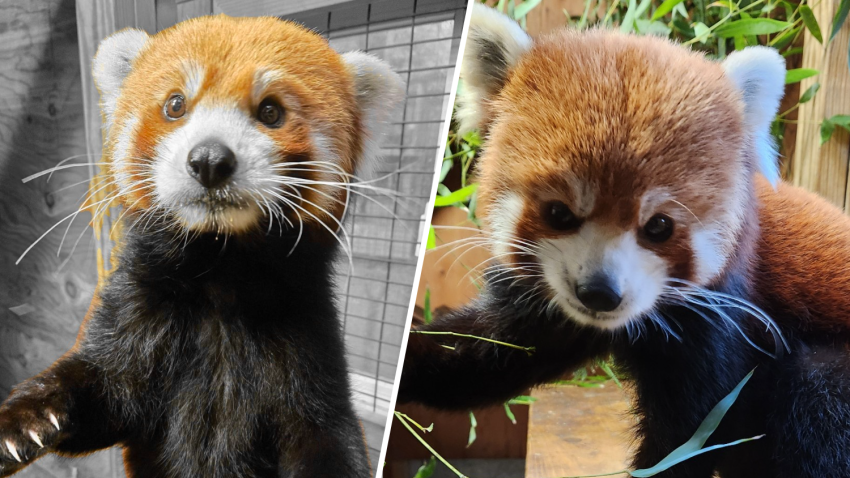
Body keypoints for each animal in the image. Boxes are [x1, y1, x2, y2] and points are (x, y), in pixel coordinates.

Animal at [0, 14, 404, 478]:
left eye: (271, 111)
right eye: (175, 105)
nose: (210, 159)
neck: (219, 275)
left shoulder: (308, 341)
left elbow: (329, 436)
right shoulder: (133, 315)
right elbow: (96, 386)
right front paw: (20, 423)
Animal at [396, 4, 848, 478]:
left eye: (659, 226)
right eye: (558, 213)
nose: (599, 292)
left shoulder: (718, 318)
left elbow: (689, 437)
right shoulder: (547, 307)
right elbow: (486, 353)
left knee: (816, 393)